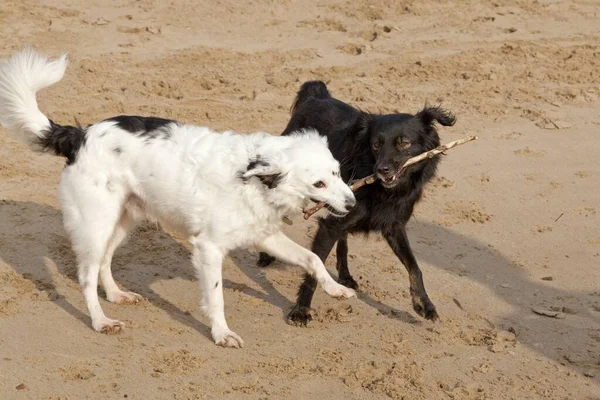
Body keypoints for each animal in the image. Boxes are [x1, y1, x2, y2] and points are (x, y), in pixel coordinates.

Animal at [0, 49, 356, 346]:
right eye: (319, 183)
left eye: (338, 172)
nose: (353, 203)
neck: (253, 178)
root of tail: (80, 135)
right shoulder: (209, 248)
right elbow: (216, 297)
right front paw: (221, 333)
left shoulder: (264, 236)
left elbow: (311, 259)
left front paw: (336, 288)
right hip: (95, 224)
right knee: (86, 276)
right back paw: (101, 320)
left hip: (121, 222)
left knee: (104, 263)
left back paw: (115, 295)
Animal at [258, 81, 454, 324]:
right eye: (376, 144)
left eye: (404, 143)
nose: (381, 170)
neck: (382, 191)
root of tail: (316, 95)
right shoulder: (328, 227)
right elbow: (315, 266)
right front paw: (301, 310)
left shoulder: (394, 225)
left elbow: (414, 266)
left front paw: (424, 304)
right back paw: (266, 254)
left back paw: (345, 275)